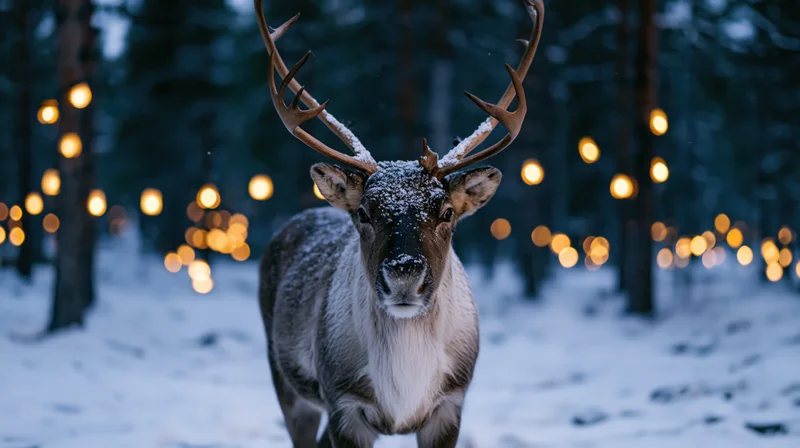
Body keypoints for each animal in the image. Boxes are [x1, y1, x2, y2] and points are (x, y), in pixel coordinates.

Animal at [255, 0, 544, 446]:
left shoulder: (451, 404)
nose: (404, 274)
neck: (403, 390)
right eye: (363, 212)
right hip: (286, 379)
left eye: (447, 212)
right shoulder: (343, 404)